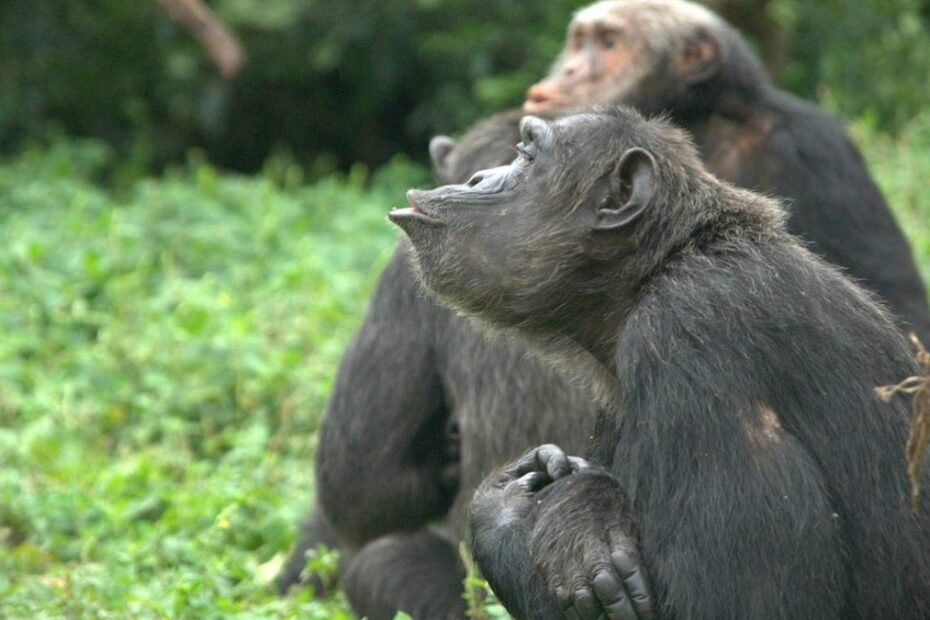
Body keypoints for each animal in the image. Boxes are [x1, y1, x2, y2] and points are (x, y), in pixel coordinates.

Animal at [391, 107, 930, 620]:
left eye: (526, 155)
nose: (477, 177)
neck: (658, 269)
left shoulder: (691, 333)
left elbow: (732, 608)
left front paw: (531, 508)